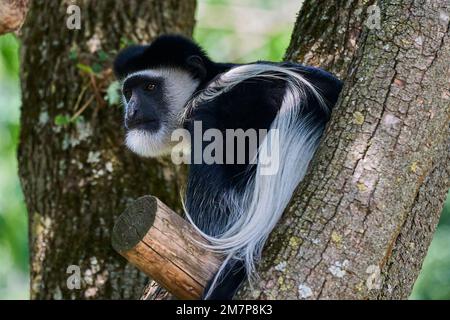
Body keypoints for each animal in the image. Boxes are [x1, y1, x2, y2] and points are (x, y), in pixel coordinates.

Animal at [114, 35, 342, 300]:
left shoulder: (209, 113)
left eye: (150, 87)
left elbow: (216, 207)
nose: (132, 111)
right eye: (128, 92)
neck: (204, 85)